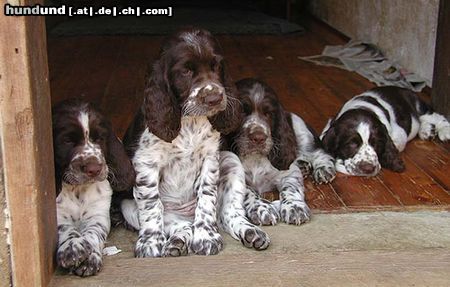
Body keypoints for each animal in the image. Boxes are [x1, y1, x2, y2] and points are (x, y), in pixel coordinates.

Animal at [52, 100, 134, 278]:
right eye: (67, 141)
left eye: (99, 138)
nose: (94, 169)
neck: (77, 189)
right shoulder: (57, 214)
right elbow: (65, 228)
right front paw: (73, 246)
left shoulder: (98, 214)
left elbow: (94, 232)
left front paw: (90, 258)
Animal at [119, 28, 248, 258]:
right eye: (186, 71)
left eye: (216, 66)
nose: (215, 98)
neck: (189, 122)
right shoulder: (146, 162)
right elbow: (152, 204)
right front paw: (150, 243)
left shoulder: (210, 157)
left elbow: (206, 195)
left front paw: (206, 236)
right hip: (128, 207)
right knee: (179, 225)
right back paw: (176, 242)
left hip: (230, 160)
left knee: (228, 213)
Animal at [320, 85, 450, 177]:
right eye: (351, 144)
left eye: (376, 143)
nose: (368, 169)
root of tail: (405, 89)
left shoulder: (399, 136)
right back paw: (427, 131)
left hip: (420, 107)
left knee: (435, 116)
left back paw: (445, 132)